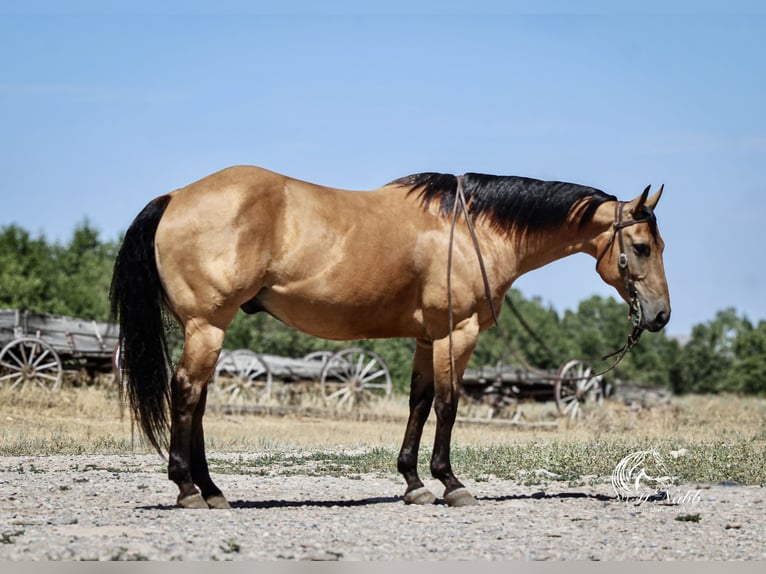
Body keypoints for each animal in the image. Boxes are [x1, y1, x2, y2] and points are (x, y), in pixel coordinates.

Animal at [110, 165, 670, 509]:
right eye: (642, 247)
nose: (661, 315)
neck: (472, 229)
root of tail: (174, 198)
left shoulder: (426, 339)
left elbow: (419, 402)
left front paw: (414, 483)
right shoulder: (456, 334)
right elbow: (448, 404)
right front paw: (451, 483)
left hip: (209, 330)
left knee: (198, 400)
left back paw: (211, 489)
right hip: (207, 326)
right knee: (186, 393)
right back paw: (188, 489)